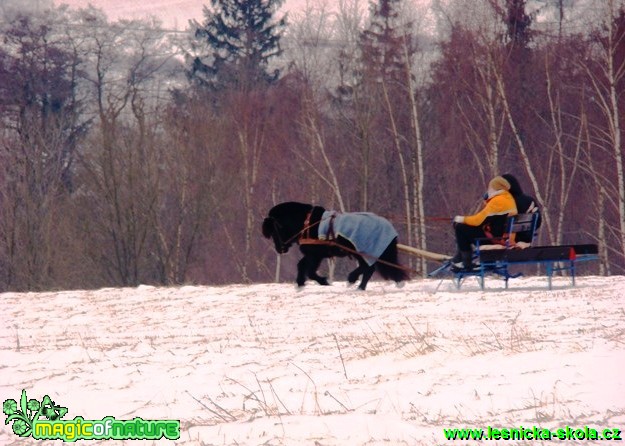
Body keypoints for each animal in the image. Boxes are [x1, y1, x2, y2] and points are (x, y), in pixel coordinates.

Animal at [260, 201, 410, 290]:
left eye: (274, 230)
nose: (280, 249)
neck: (307, 224)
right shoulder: (312, 254)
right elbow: (301, 266)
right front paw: (300, 284)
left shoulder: (315, 255)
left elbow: (310, 271)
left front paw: (324, 281)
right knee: (370, 268)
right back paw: (360, 286)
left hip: (361, 250)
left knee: (367, 268)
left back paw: (353, 281)